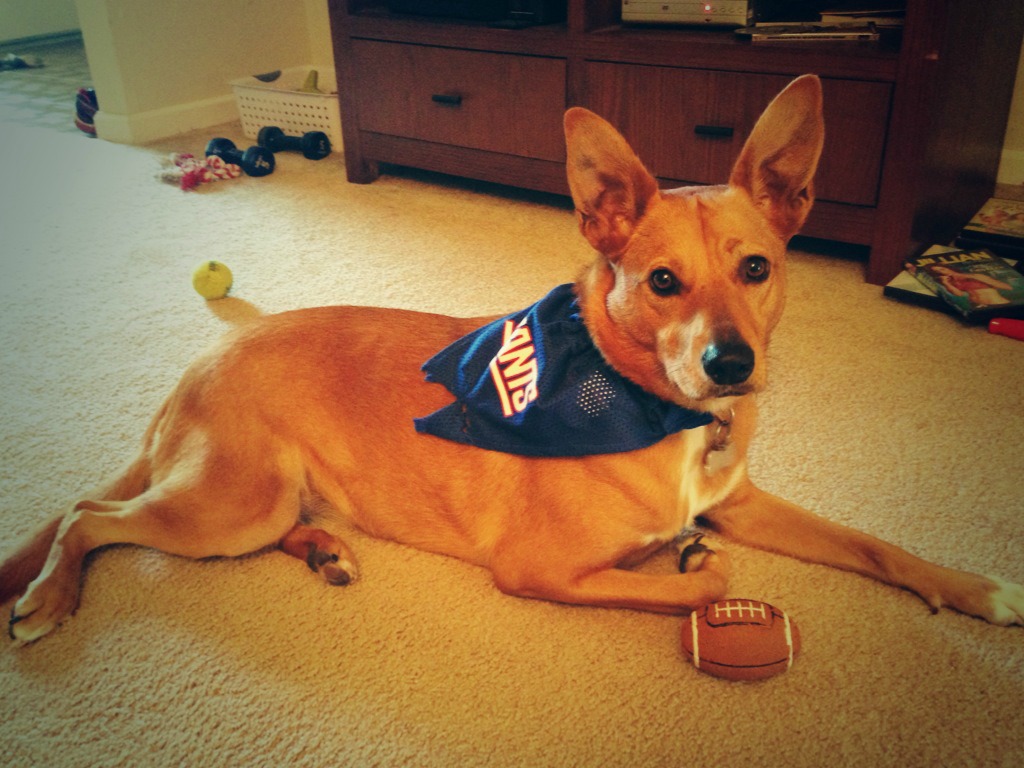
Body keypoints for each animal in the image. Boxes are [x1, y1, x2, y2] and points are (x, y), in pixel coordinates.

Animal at [2, 78, 1024, 643]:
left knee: (223, 520)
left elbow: (874, 544)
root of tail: (204, 360)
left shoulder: (738, 499)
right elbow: (710, 578)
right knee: (88, 517)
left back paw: (325, 548)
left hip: (260, 505)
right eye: (662, 281)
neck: (654, 405)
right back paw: (51, 596)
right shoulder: (539, 572)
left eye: (757, 268)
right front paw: (690, 568)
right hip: (230, 504)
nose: (730, 366)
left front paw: (975, 588)